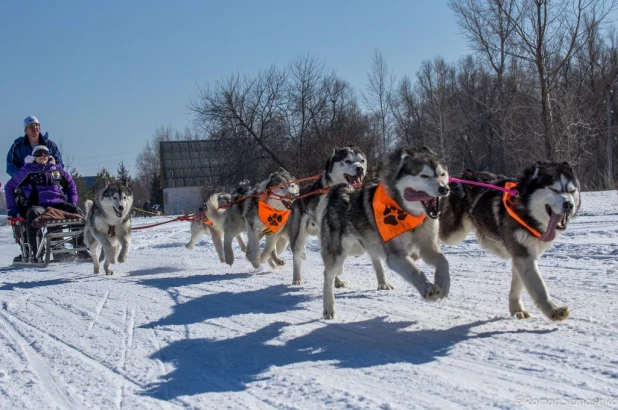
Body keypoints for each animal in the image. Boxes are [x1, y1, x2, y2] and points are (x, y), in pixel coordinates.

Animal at [288, 147, 368, 286]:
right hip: (298, 236)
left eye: (362, 161)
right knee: (296, 257)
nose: (360, 168)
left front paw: (337, 279)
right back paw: (297, 278)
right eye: (347, 161)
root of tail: (299, 195)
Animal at [316, 146, 450, 318]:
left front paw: (443, 284)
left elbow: (442, 260)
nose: (444, 189)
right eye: (424, 175)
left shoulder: (427, 246)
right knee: (328, 275)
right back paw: (329, 308)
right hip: (339, 253)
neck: (408, 213)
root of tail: (341, 189)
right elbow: (415, 271)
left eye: (442, 174)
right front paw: (427, 288)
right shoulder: (395, 255)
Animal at [438, 162, 576, 322]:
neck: (526, 211)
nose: (568, 204)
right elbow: (539, 287)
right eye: (554, 189)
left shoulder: (522, 255)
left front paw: (517, 309)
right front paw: (553, 310)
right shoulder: (522, 255)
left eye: (572, 191)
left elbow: (517, 285)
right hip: (452, 233)